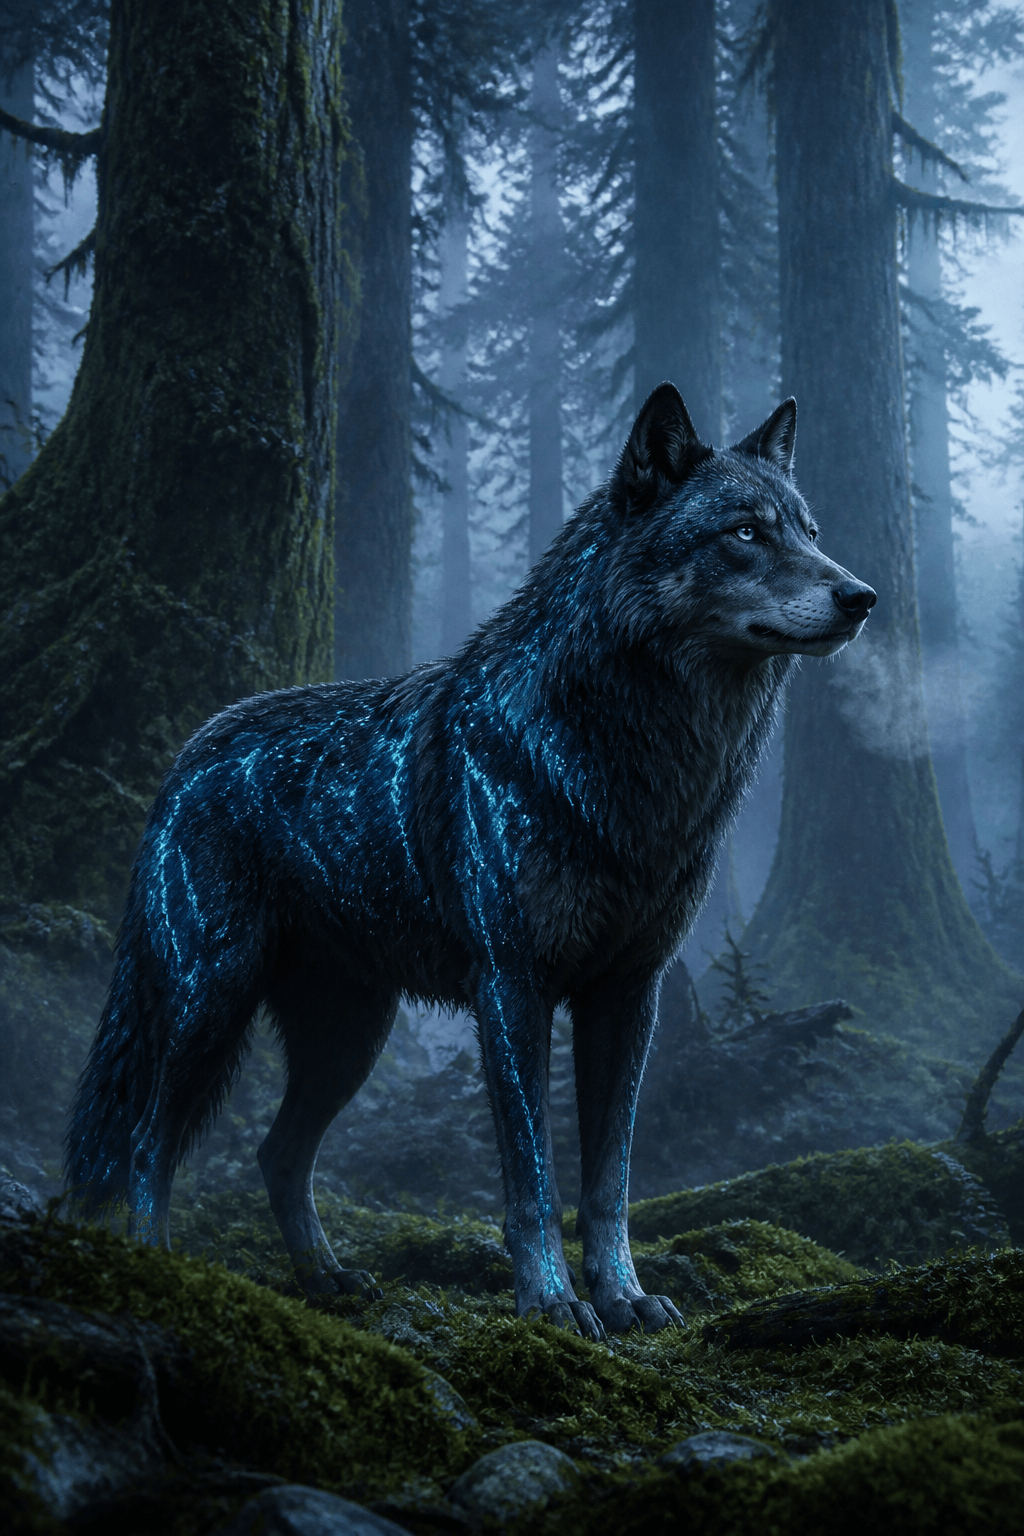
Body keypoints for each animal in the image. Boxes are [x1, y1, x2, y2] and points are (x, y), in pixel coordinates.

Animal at [66, 385, 875, 1338]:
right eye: (746, 532)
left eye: (810, 532)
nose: (863, 596)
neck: (639, 768)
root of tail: (189, 751)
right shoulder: (512, 986)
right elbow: (532, 1180)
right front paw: (553, 1303)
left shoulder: (629, 993)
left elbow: (609, 1180)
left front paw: (624, 1297)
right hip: (213, 1002)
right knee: (149, 1139)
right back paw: (156, 1266)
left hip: (349, 1038)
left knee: (275, 1153)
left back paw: (327, 1280)